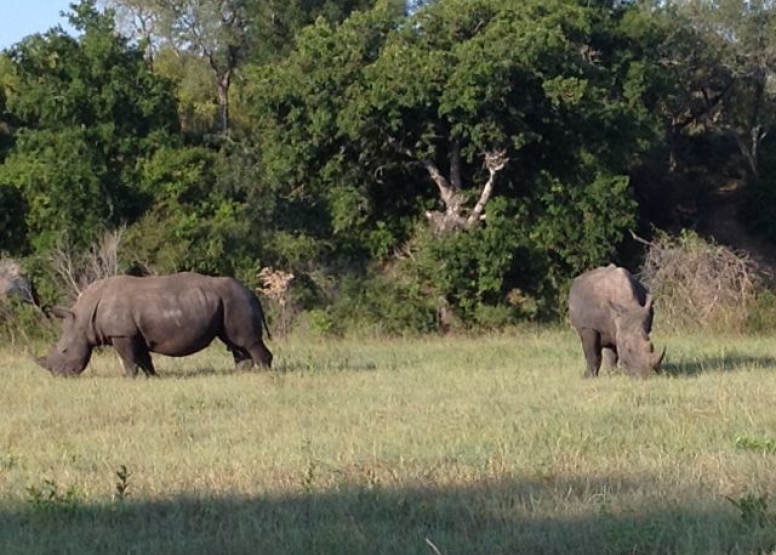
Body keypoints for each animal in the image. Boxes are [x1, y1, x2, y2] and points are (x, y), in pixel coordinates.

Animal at [35, 272, 272, 378]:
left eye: (64, 351)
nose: (58, 375)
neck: (83, 320)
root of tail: (252, 293)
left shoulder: (121, 334)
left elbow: (129, 359)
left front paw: (129, 379)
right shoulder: (133, 333)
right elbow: (143, 358)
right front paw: (152, 377)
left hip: (237, 301)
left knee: (247, 341)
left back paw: (264, 373)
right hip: (228, 302)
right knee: (234, 342)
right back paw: (241, 374)